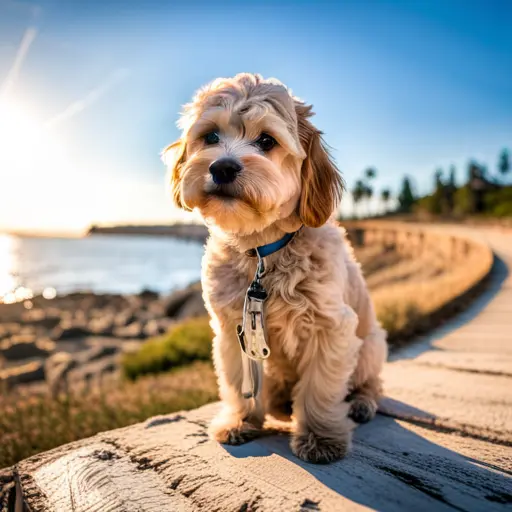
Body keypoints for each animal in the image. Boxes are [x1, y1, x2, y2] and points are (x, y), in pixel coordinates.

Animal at [165, 73, 388, 464]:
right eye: (211, 137)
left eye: (266, 141)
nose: (222, 167)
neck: (262, 252)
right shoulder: (233, 329)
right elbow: (240, 383)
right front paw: (241, 421)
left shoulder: (332, 328)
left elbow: (319, 389)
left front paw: (319, 437)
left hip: (371, 344)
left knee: (370, 383)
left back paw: (361, 403)